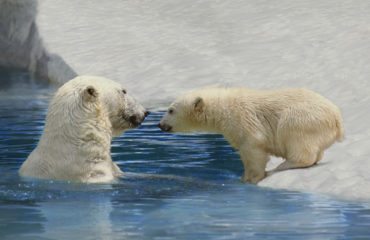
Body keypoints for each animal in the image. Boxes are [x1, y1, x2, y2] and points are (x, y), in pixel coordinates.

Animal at [159, 87, 344, 184]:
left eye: (170, 110)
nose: (160, 124)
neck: (223, 109)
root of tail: (336, 118)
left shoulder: (244, 121)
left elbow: (253, 149)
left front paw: (251, 178)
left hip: (302, 119)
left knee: (295, 137)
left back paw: (283, 165)